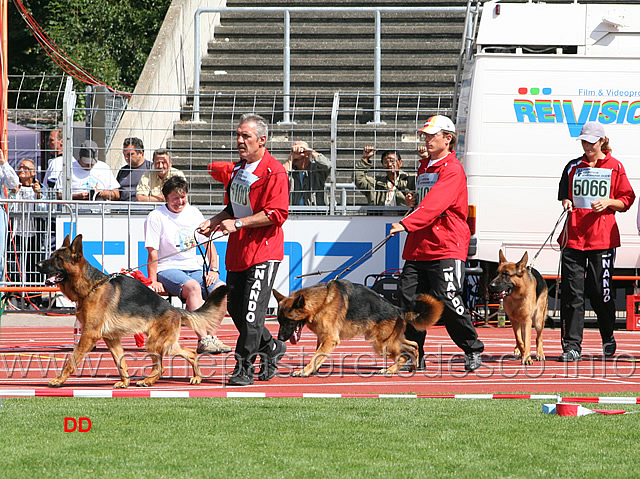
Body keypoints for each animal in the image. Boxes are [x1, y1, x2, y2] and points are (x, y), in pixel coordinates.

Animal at [272, 280, 442, 376]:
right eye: (279, 320)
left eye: (289, 320)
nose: (280, 338)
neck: (321, 302)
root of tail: (397, 309)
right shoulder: (323, 337)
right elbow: (318, 355)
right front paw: (313, 369)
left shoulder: (330, 339)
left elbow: (316, 356)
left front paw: (304, 371)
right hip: (389, 341)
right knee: (413, 346)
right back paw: (412, 366)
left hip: (382, 344)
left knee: (404, 355)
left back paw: (391, 370)